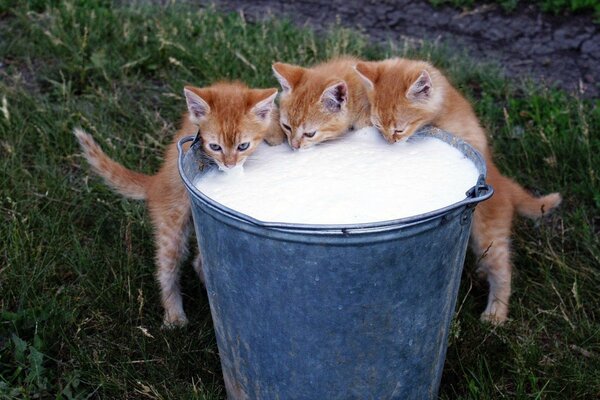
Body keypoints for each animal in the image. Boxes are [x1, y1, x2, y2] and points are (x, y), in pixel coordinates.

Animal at [74, 82, 282, 328]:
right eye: (215, 146)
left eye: (243, 146)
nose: (229, 165)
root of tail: (154, 184)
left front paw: (277, 129)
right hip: (171, 228)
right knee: (167, 268)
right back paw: (174, 315)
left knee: (199, 263)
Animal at [354, 58, 560, 324]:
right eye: (379, 126)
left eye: (399, 129)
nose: (390, 142)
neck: (444, 108)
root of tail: (504, 183)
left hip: (488, 233)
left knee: (503, 269)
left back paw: (496, 313)